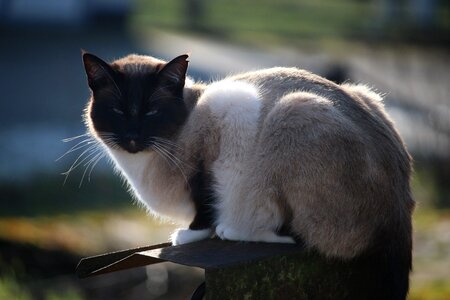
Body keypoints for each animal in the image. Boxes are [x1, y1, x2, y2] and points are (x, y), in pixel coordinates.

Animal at [81, 52, 414, 300]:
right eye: (117, 111)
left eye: (151, 112)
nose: (132, 138)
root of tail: (399, 214)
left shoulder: (227, 118)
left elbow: (207, 197)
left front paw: (192, 233)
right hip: (365, 93)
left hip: (294, 110)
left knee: (299, 236)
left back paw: (232, 229)